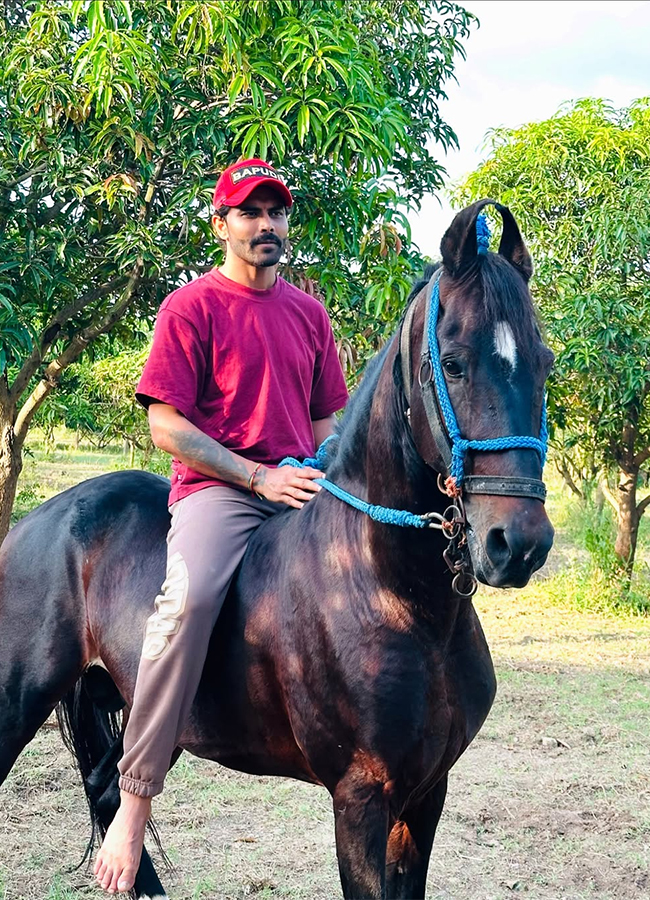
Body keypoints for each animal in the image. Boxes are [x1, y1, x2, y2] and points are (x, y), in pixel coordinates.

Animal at [0, 202, 552, 900]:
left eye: (545, 362)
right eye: (452, 363)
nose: (519, 544)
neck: (391, 593)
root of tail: (40, 521)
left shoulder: (426, 794)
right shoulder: (361, 799)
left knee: (109, 787)